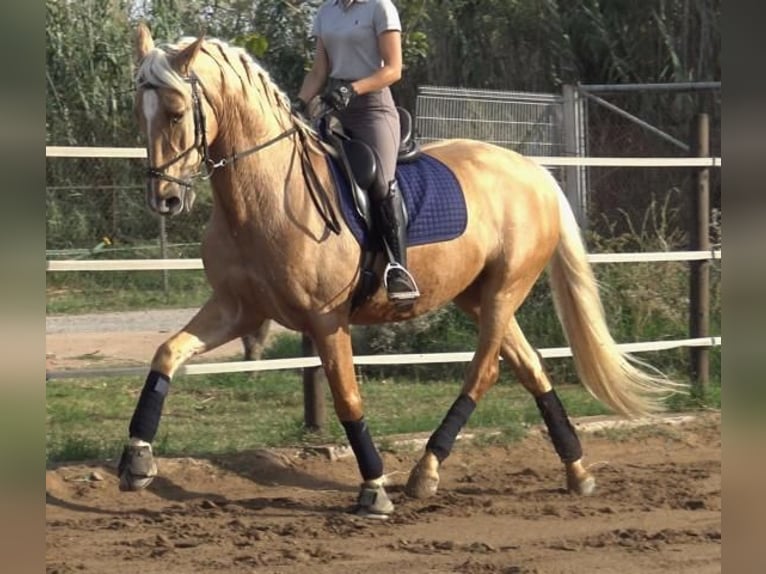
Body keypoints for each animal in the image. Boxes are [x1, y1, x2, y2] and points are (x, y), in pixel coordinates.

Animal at [123, 24, 680, 520]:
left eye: (175, 112)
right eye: (139, 114)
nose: (164, 198)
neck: (267, 196)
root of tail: (531, 171)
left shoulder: (326, 320)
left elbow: (348, 398)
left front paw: (373, 489)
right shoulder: (237, 308)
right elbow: (166, 354)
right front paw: (136, 460)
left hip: (506, 289)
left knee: (486, 370)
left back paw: (425, 472)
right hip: (477, 295)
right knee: (530, 366)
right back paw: (576, 471)